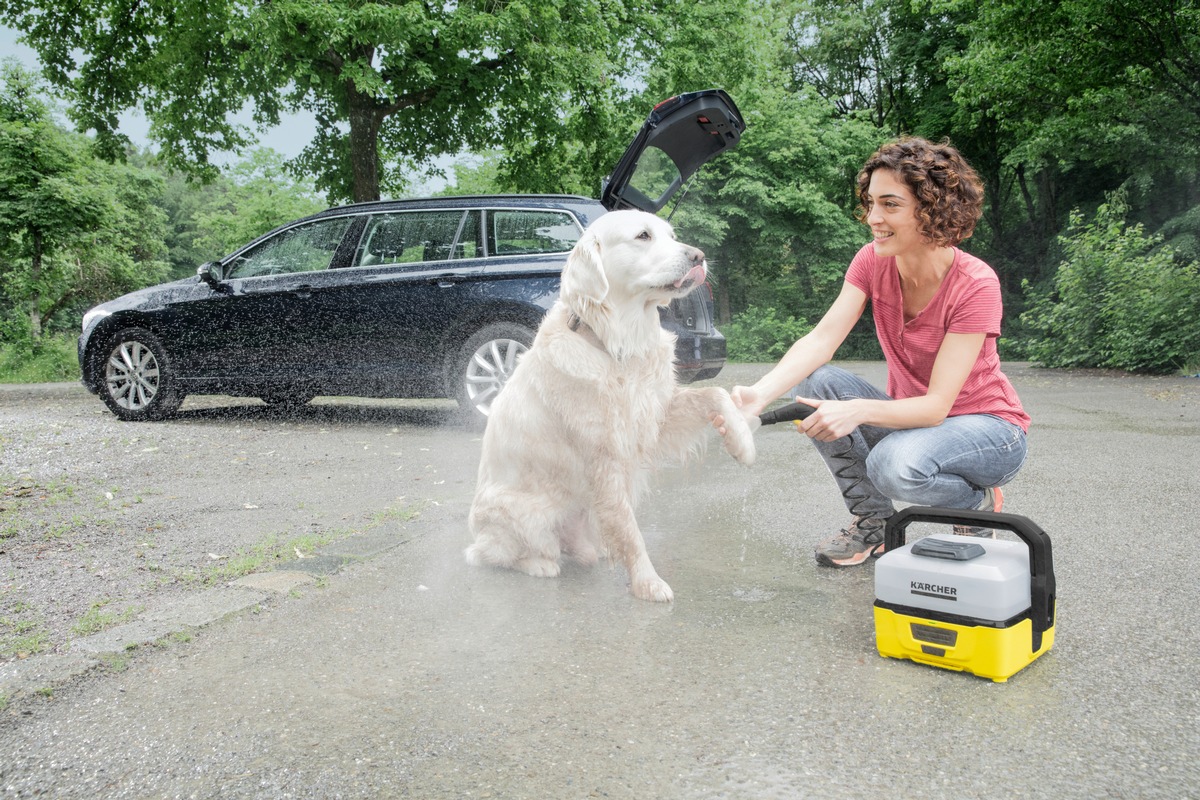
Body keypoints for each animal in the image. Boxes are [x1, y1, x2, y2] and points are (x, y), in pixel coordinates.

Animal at [463, 209, 753, 604]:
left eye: (671, 235)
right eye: (643, 236)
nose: (699, 256)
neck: (616, 343)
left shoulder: (655, 416)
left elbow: (716, 394)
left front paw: (742, 442)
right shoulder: (606, 456)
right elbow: (629, 530)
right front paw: (647, 582)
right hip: (524, 514)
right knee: (496, 554)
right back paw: (539, 564)